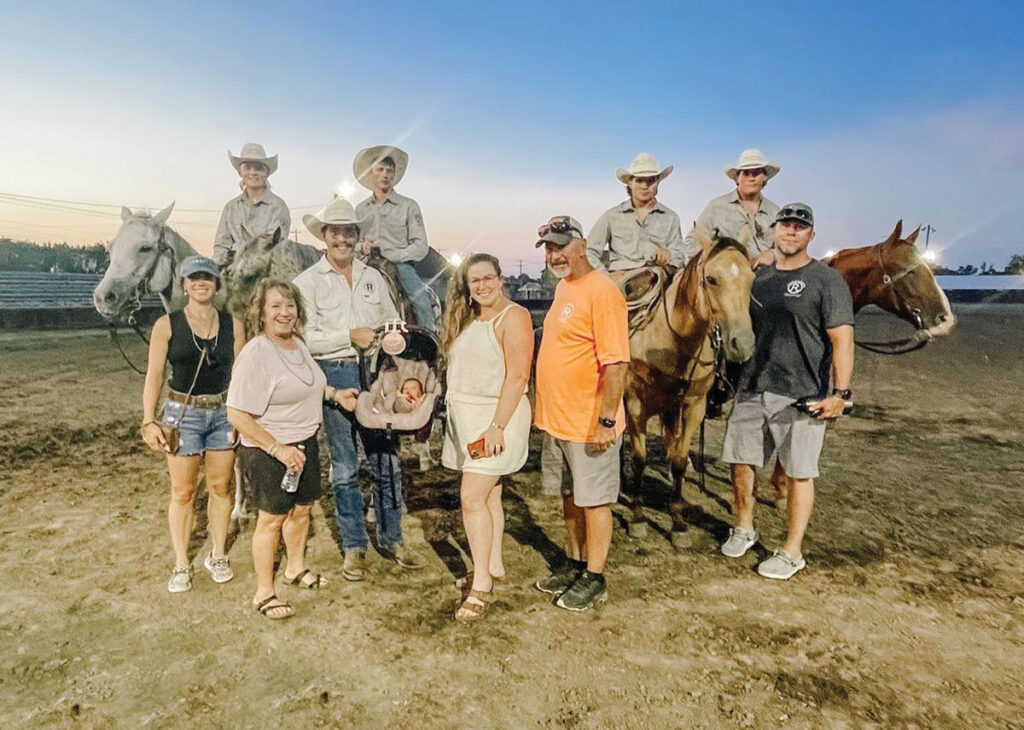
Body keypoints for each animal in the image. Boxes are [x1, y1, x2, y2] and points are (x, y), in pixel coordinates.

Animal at [618, 230, 757, 544]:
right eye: (712, 279)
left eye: (751, 278)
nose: (742, 344)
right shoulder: (635, 404)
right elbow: (641, 458)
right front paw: (638, 517)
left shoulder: (694, 406)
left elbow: (679, 460)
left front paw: (678, 523)